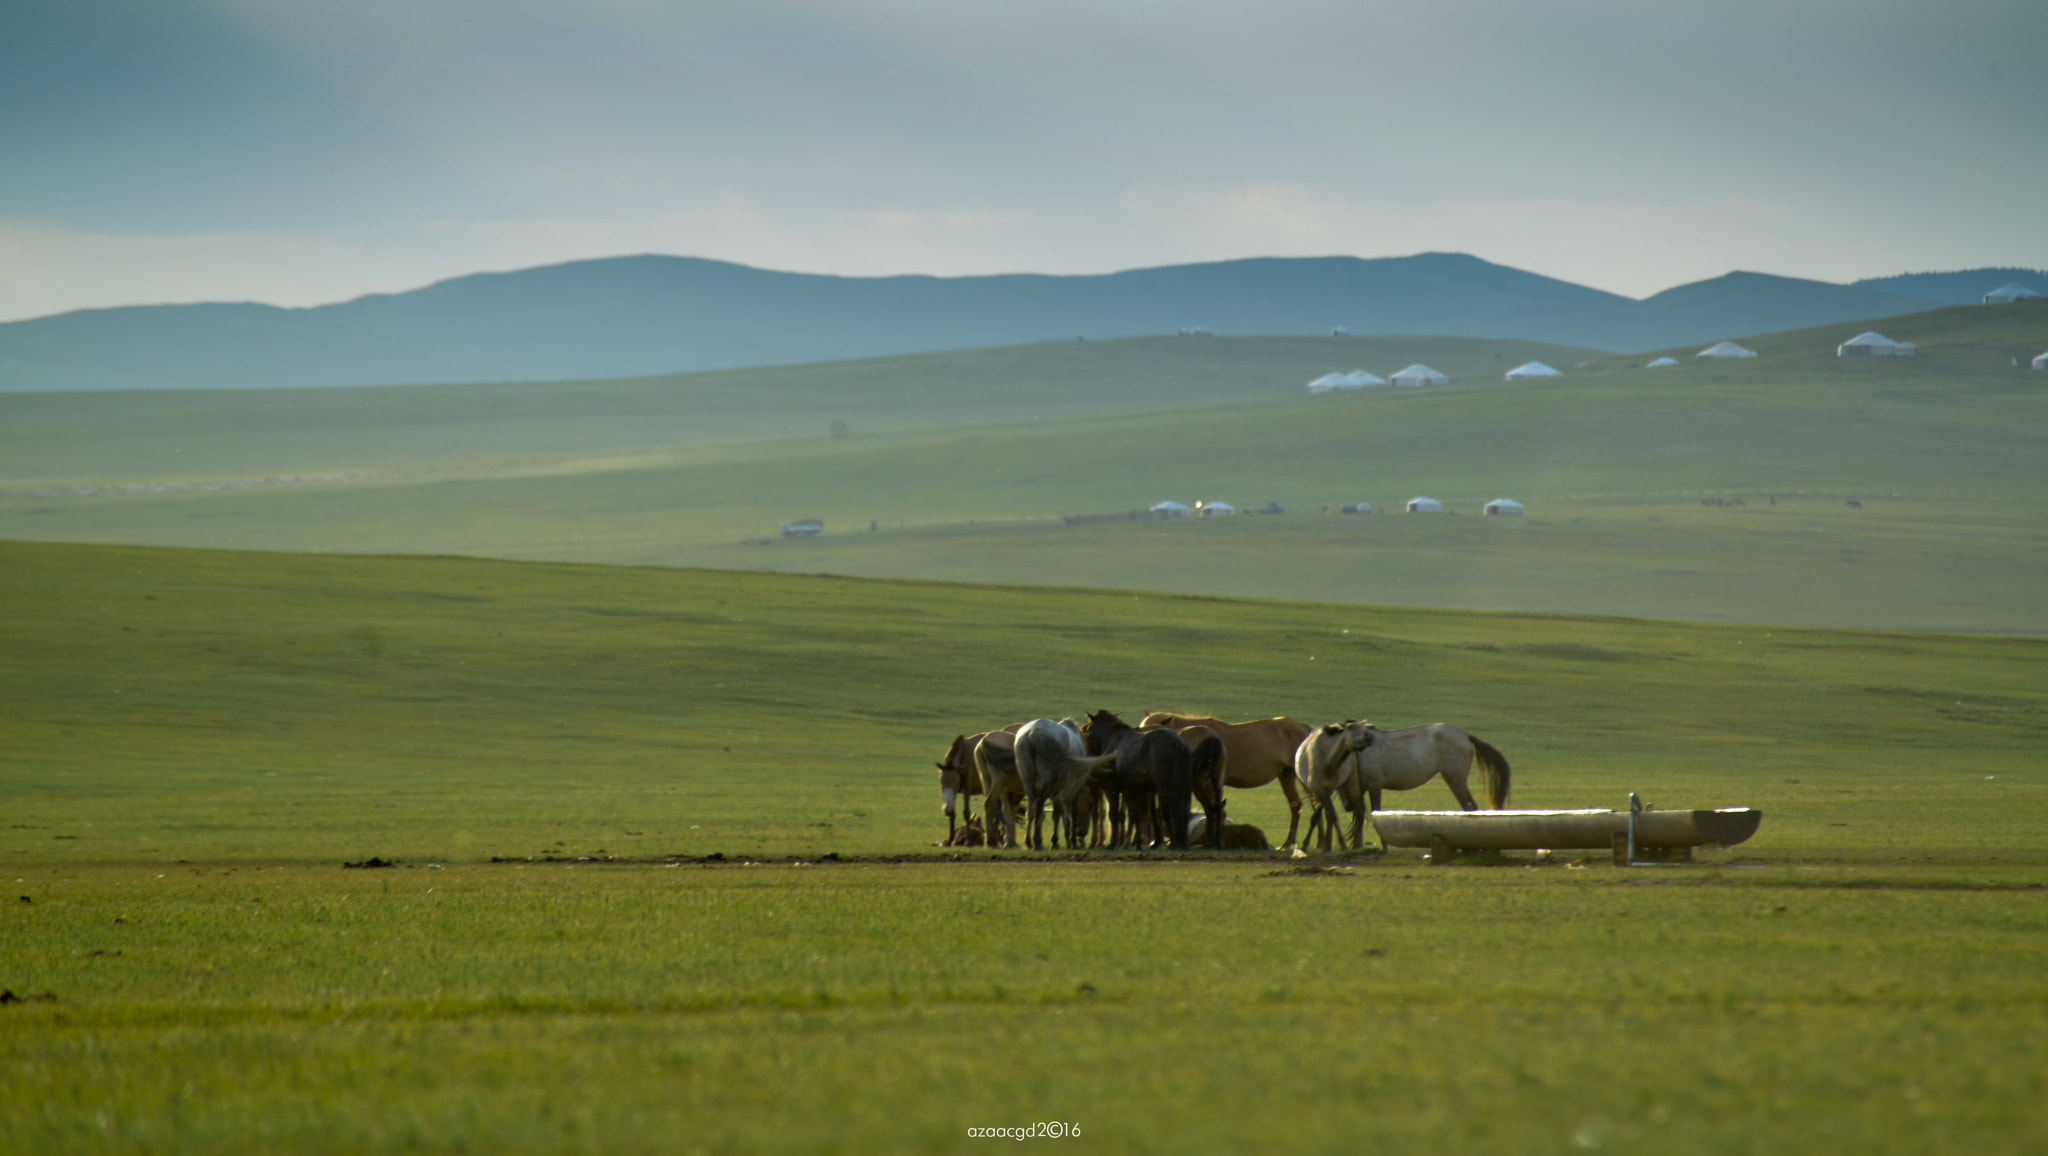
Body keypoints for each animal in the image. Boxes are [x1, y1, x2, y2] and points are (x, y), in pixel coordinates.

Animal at [1138, 709, 1310, 844]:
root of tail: (1305, 727)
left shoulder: (1206, 783)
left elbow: (1214, 809)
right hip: (1286, 775)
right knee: (1296, 805)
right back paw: (1290, 842)